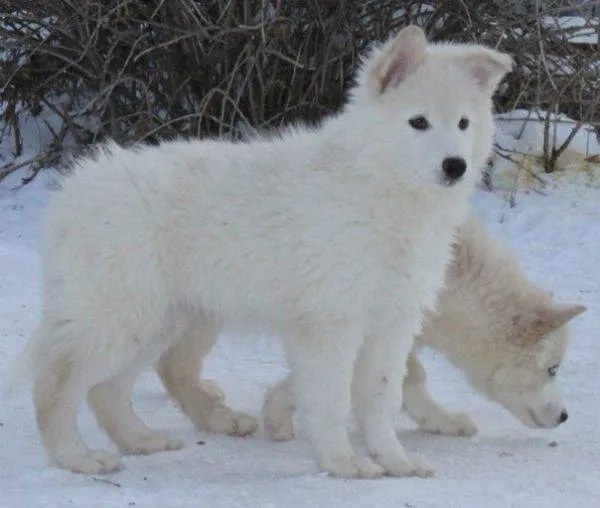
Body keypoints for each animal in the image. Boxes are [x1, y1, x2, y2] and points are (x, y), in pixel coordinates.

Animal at [12, 25, 510, 478]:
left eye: (464, 124)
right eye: (418, 122)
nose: (455, 166)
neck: (380, 186)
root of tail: (73, 191)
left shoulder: (393, 322)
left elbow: (379, 399)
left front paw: (396, 461)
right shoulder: (330, 322)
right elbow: (331, 399)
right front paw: (344, 464)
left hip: (156, 321)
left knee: (108, 389)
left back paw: (141, 440)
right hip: (119, 315)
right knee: (56, 383)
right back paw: (78, 458)